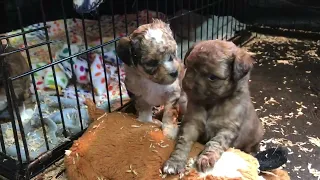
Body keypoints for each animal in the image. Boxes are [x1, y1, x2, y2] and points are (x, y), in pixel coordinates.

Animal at [164, 39, 264, 174]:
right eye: (189, 67)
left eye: (212, 77)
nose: (187, 86)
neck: (212, 103)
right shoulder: (192, 123)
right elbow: (183, 142)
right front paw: (175, 161)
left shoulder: (227, 129)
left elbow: (215, 143)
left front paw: (206, 158)